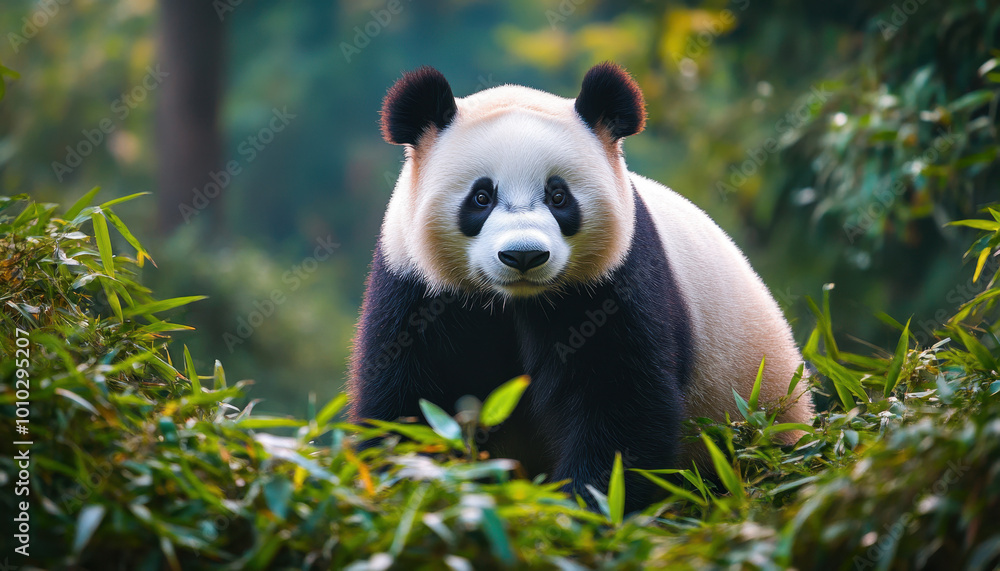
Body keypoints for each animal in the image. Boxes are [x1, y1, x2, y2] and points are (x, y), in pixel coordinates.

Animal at [349, 62, 813, 513]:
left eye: (558, 196)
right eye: (481, 197)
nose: (523, 256)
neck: (516, 301)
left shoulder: (613, 282)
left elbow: (620, 404)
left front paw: (583, 507)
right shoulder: (417, 286)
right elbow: (408, 403)